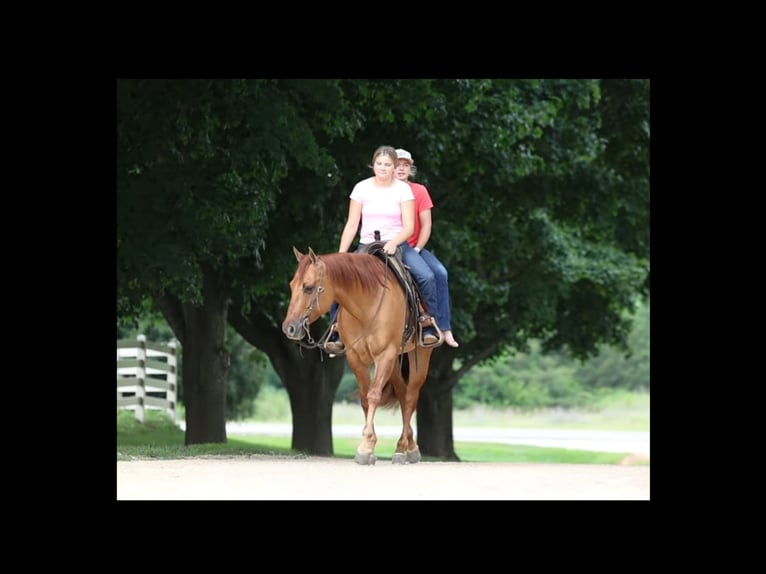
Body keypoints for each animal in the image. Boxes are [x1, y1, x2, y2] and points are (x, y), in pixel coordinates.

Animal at [282, 246, 434, 465]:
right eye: (292, 285)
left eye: (308, 288)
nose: (289, 328)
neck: (366, 306)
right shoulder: (356, 358)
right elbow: (364, 397)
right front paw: (368, 444)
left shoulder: (384, 355)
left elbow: (373, 395)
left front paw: (366, 446)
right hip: (395, 364)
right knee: (403, 394)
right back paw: (405, 446)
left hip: (420, 356)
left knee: (412, 396)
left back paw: (405, 447)